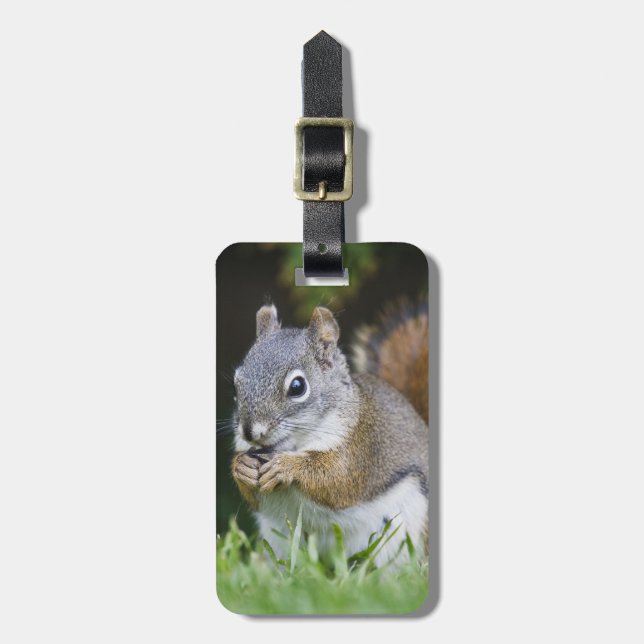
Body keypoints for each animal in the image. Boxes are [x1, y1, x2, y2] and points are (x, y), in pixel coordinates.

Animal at [230, 300, 429, 566]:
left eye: (297, 387)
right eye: (236, 384)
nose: (250, 432)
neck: (294, 444)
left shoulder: (360, 448)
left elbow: (337, 480)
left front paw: (286, 467)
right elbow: (252, 496)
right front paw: (242, 468)